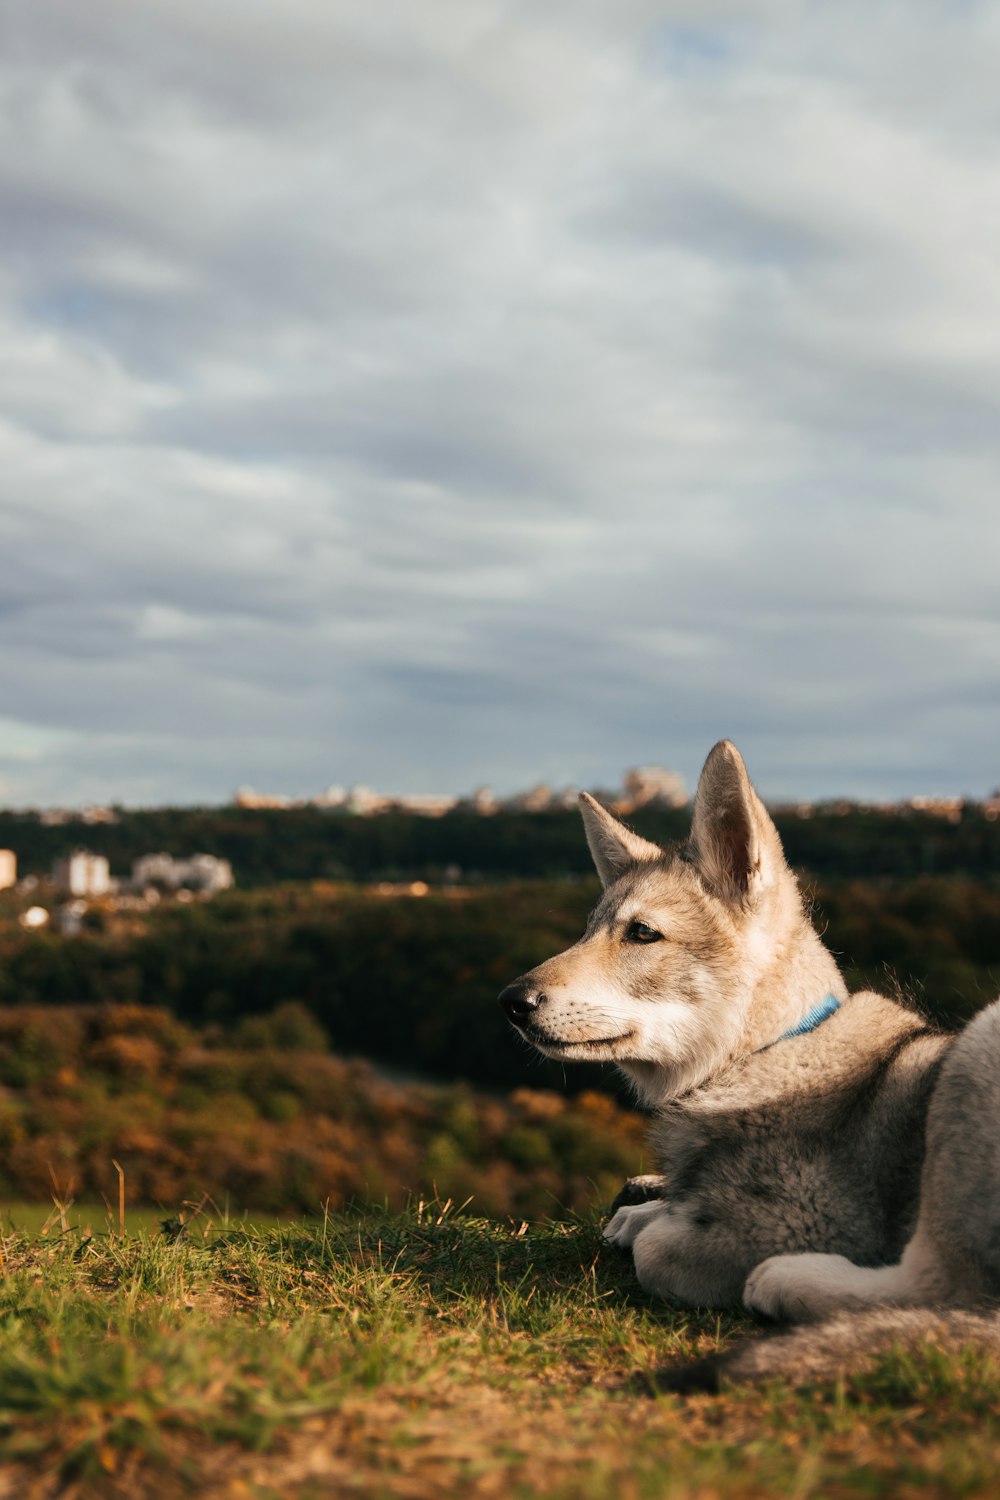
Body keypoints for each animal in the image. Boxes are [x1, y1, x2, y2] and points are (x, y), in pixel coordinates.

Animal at [500, 732, 1000, 1344]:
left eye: (642, 933)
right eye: (587, 930)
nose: (511, 1003)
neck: (771, 1053)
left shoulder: (806, 1220)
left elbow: (654, 1251)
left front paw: (656, 1224)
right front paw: (645, 1209)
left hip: (979, 1046)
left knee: (944, 1289)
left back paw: (784, 1283)